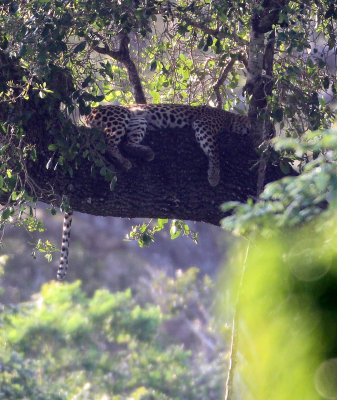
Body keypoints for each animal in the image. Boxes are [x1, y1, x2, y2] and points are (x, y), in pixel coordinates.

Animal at [55, 104, 249, 282]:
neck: (231, 119)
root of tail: (85, 117)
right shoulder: (205, 125)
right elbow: (214, 150)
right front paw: (214, 175)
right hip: (120, 115)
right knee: (110, 143)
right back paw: (125, 161)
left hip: (139, 121)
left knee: (127, 143)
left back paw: (145, 153)